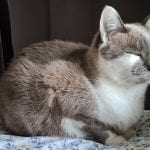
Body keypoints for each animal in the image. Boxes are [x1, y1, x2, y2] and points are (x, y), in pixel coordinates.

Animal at [0, 5, 150, 145]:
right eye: (135, 53)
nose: (149, 65)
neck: (130, 94)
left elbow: (127, 129)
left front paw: (129, 133)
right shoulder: (70, 112)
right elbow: (101, 130)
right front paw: (118, 140)